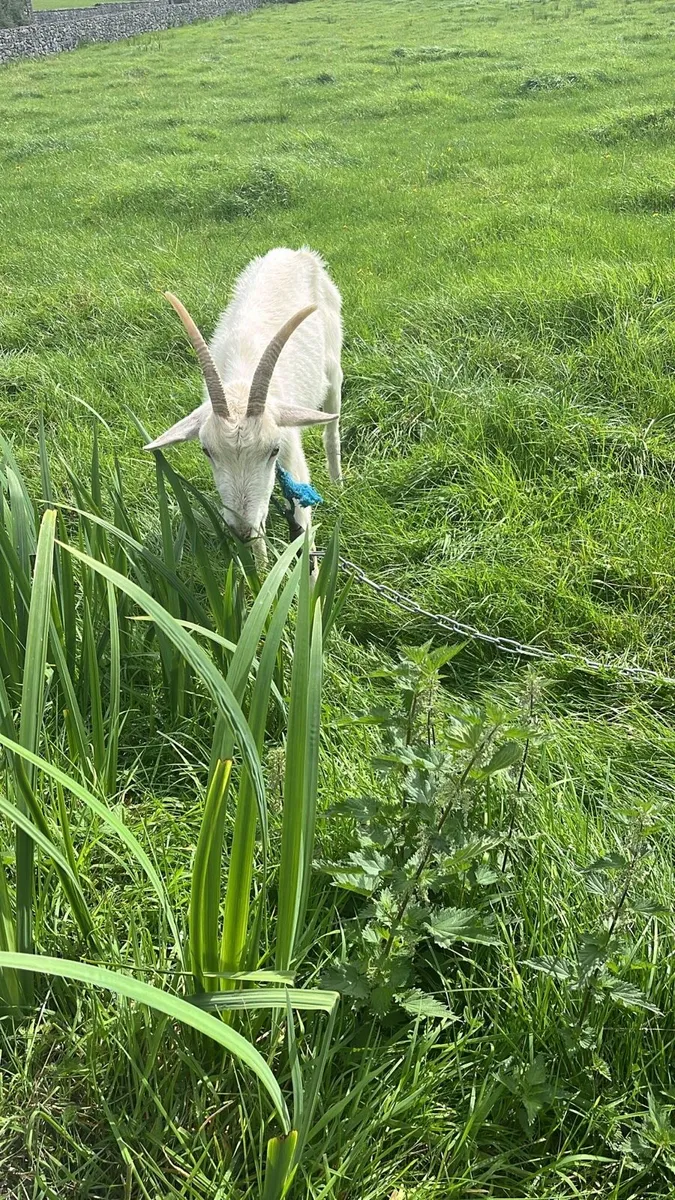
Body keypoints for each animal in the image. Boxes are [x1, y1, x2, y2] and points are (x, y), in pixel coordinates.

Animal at [145, 247, 343, 568]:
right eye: (207, 451)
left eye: (273, 450)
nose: (240, 531)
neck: (242, 382)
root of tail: (294, 253)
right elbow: (260, 533)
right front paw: (261, 573)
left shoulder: (290, 447)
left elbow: (302, 527)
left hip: (333, 367)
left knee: (331, 427)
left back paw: (339, 483)